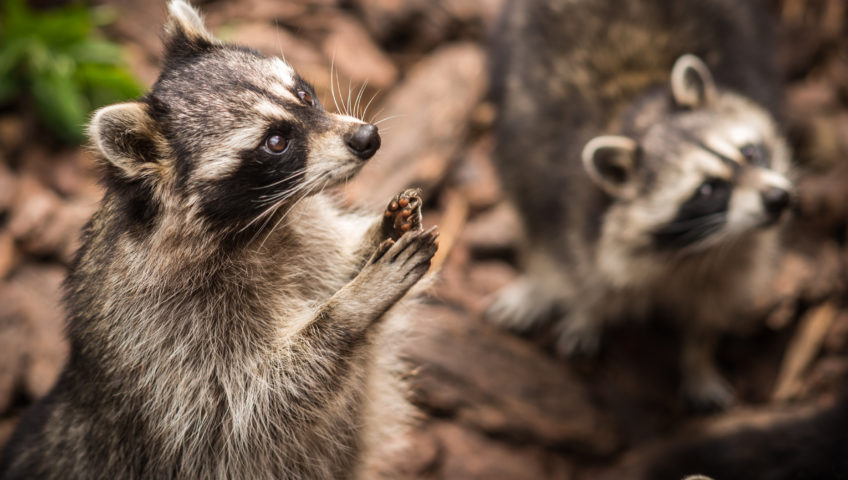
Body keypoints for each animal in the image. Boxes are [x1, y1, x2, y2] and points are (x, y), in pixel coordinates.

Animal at [0, 1, 438, 478]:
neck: (254, 227)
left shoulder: (300, 231)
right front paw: (350, 307)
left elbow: (330, 267)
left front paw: (381, 234)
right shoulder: (166, 337)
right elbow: (247, 408)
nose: (367, 137)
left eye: (303, 95)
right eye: (276, 141)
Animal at [486, 0, 792, 408]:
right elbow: (570, 260)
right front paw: (586, 310)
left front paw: (699, 358)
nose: (778, 199)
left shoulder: (742, 251)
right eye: (707, 190)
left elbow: (713, 304)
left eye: (750, 152)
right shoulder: (560, 197)